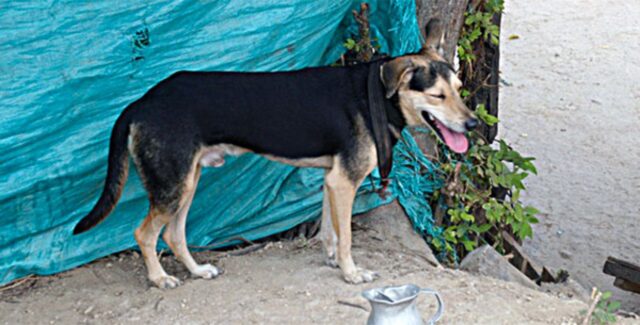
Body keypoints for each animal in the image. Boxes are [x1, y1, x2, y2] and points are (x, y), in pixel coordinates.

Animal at [72, 18, 478, 286]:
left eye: (459, 88)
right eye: (437, 95)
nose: (473, 124)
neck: (377, 95)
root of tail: (140, 104)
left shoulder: (331, 180)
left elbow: (331, 233)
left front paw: (335, 263)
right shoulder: (344, 181)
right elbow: (346, 236)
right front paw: (352, 273)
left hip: (187, 181)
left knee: (172, 234)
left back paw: (197, 270)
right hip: (174, 185)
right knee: (143, 233)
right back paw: (159, 279)